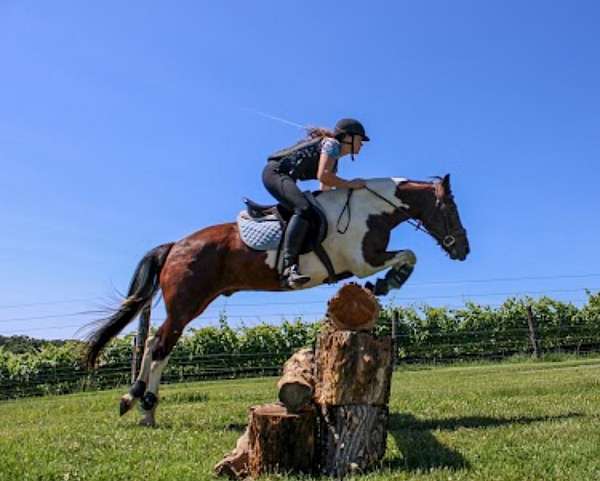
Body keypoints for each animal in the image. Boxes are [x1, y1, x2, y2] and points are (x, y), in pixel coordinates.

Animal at [84, 172, 468, 424]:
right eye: (450, 208)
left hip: (190, 305)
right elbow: (407, 256)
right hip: (187, 305)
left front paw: (386, 283)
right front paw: (389, 282)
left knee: (151, 341)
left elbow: (406, 256)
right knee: (161, 345)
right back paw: (145, 406)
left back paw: (134, 400)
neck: (369, 209)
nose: (463, 249)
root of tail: (175, 245)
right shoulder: (363, 261)